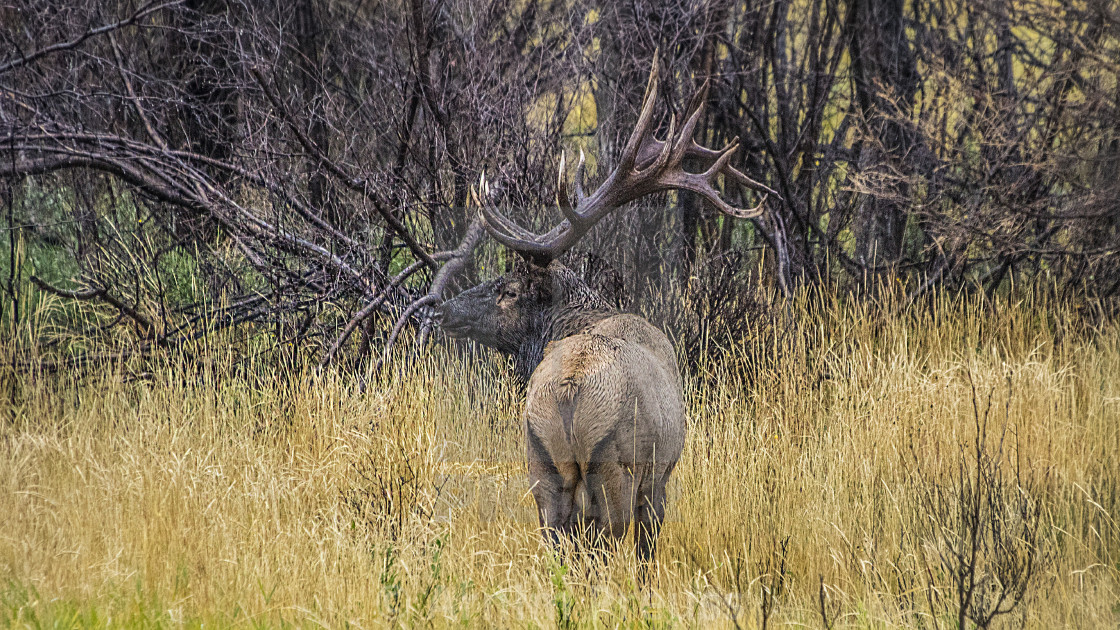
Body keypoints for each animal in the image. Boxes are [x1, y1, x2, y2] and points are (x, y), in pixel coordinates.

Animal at [434, 62, 770, 564]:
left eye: (507, 290)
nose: (441, 309)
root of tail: (569, 391)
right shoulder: (661, 476)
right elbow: (647, 551)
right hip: (616, 466)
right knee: (605, 542)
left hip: (540, 462)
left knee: (559, 540)